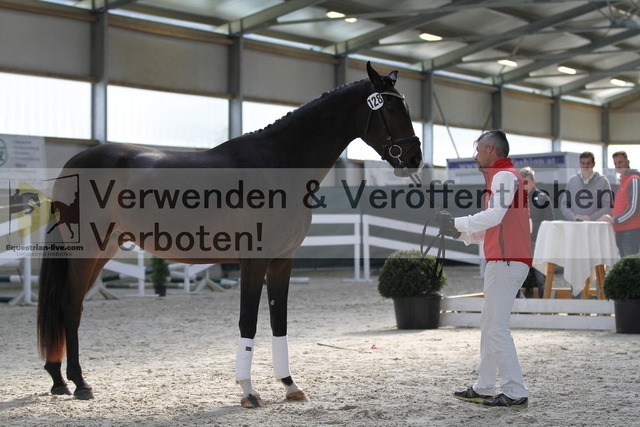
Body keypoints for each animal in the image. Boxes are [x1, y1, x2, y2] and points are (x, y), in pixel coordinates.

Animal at [37, 62, 424, 407]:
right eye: (391, 107)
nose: (414, 158)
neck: (277, 163)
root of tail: (72, 165)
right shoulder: (253, 260)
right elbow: (248, 320)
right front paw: (249, 391)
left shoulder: (283, 260)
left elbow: (279, 320)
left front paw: (289, 385)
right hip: (88, 250)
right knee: (69, 305)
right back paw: (80, 383)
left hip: (102, 251)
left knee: (69, 305)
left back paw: (58, 380)